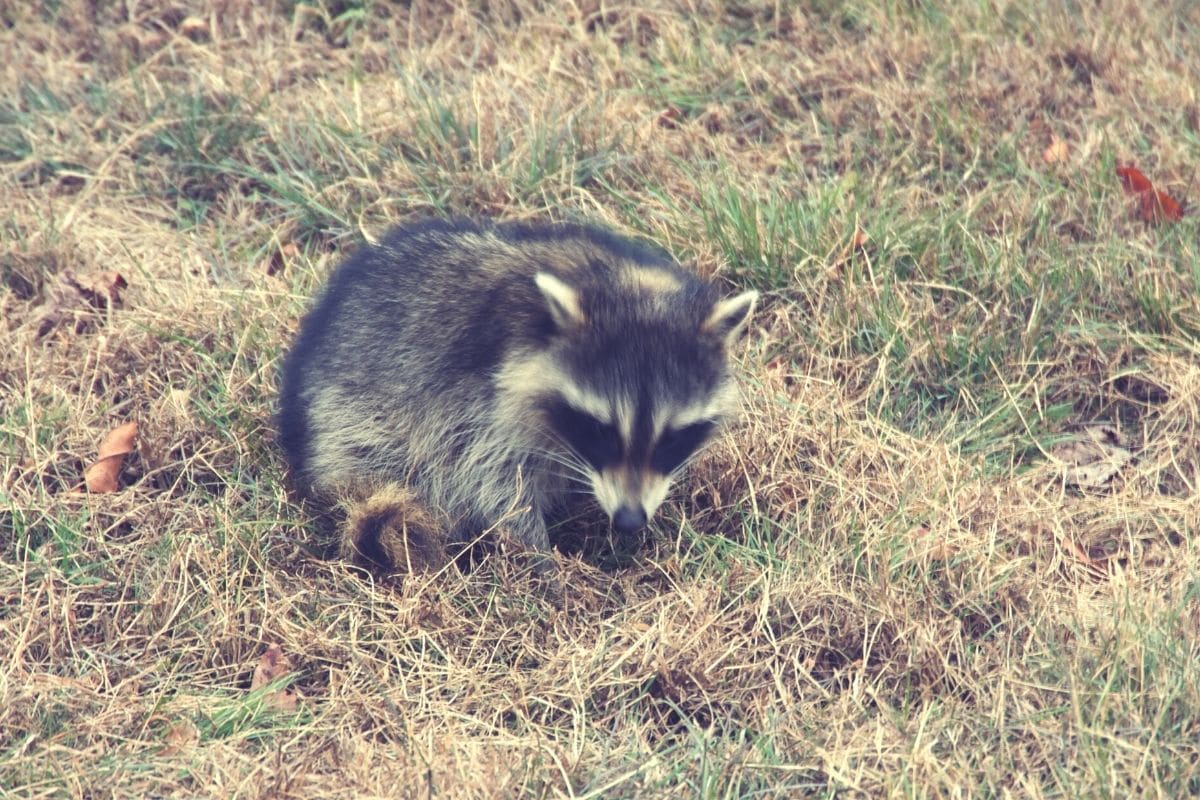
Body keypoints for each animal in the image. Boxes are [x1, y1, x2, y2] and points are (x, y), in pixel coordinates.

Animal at [276, 219, 753, 568]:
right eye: (601, 429)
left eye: (673, 437)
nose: (630, 520)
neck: (613, 279)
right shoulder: (473, 405)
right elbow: (493, 483)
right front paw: (542, 560)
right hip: (350, 421)